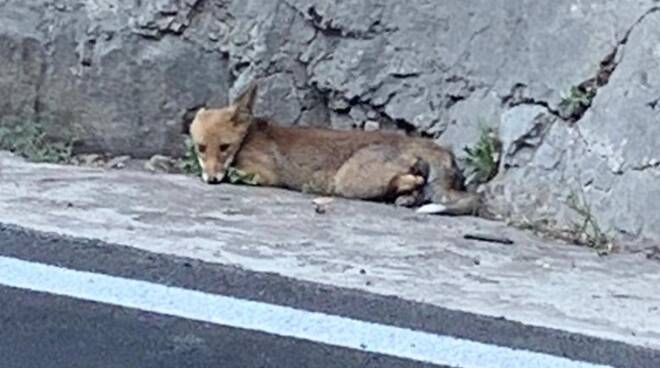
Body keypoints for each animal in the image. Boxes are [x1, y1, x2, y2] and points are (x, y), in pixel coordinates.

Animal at [188, 83, 482, 216]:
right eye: (201, 148)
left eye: (224, 147)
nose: (211, 180)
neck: (249, 137)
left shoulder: (263, 174)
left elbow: (235, 173)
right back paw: (408, 198)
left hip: (349, 181)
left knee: (414, 179)